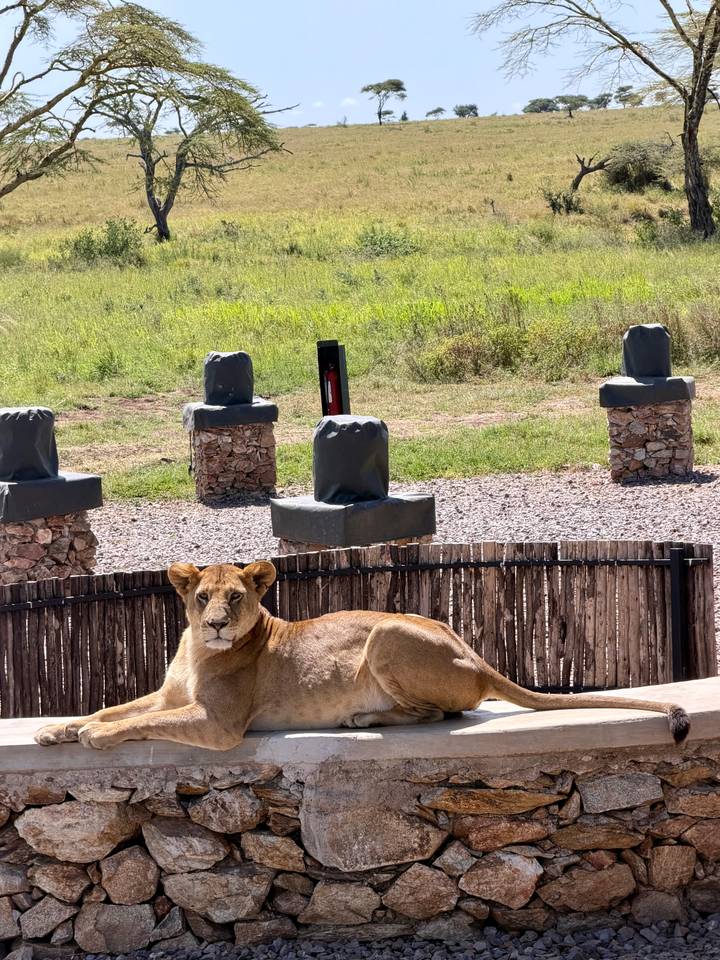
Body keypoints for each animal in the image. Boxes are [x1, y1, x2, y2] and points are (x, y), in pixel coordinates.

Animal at [35, 560, 690, 751]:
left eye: (236, 598)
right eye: (201, 598)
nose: (218, 624)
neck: (197, 650)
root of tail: (476, 654)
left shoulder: (219, 724)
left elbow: (142, 722)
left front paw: (92, 737)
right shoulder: (170, 693)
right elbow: (117, 708)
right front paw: (58, 729)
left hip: (383, 637)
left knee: (436, 714)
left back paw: (361, 718)